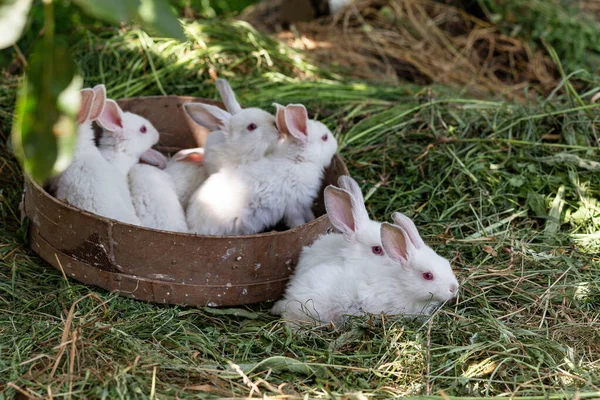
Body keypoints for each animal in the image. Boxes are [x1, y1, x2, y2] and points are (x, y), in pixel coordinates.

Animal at [188, 102, 338, 234]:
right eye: (325, 138)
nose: (336, 144)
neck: (298, 161)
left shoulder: (304, 205)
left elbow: (310, 216)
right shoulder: (293, 208)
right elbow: (297, 222)